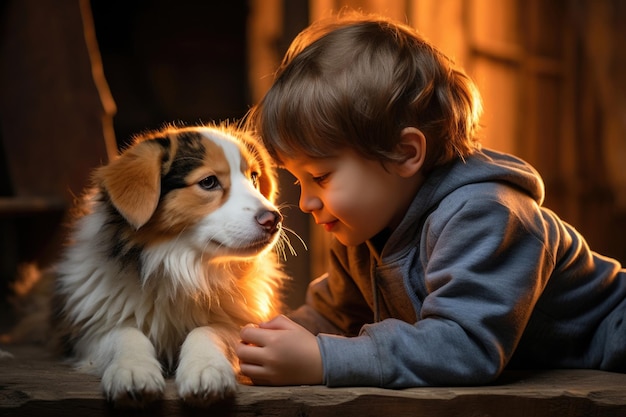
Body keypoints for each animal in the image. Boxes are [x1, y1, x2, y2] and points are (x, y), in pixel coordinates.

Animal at [52, 124, 286, 406]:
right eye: (208, 182)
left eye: (253, 177)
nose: (274, 220)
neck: (180, 268)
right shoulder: (88, 334)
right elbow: (124, 333)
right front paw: (133, 371)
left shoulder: (242, 326)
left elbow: (208, 330)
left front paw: (205, 370)